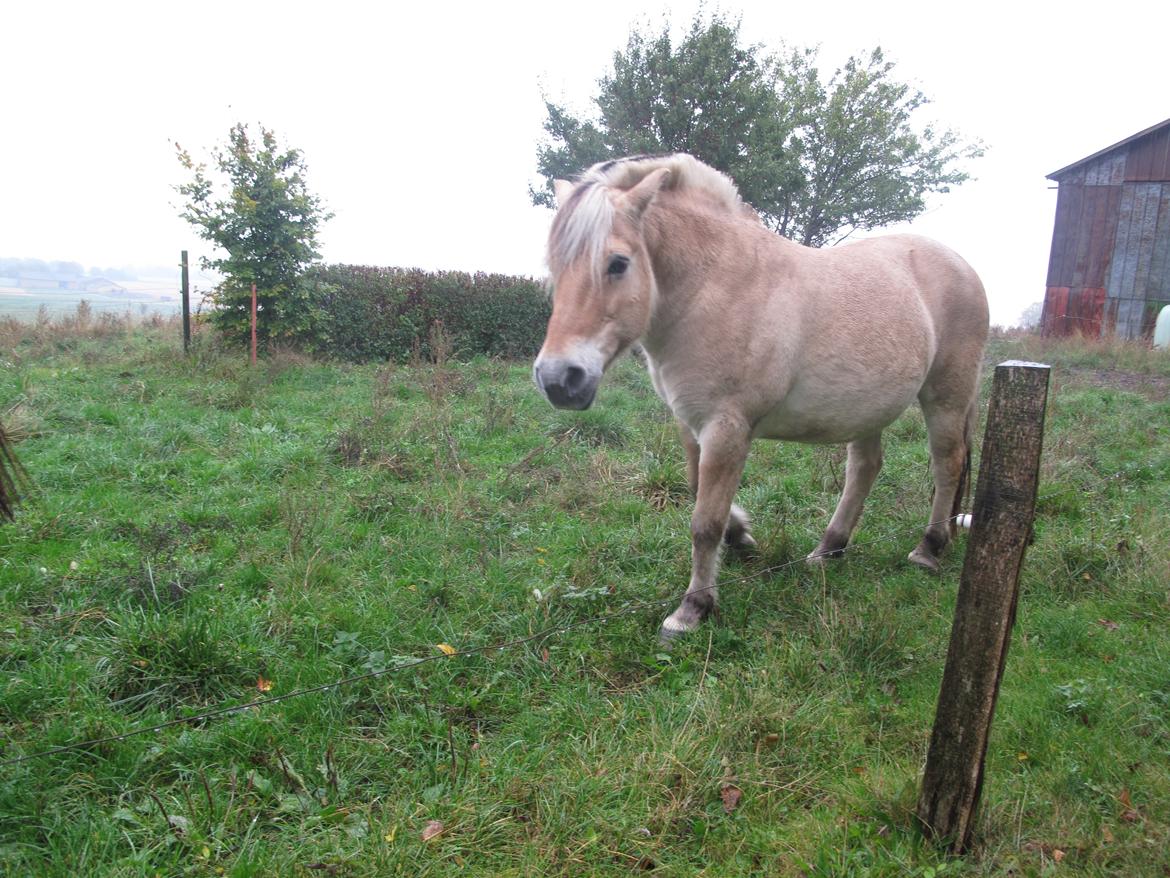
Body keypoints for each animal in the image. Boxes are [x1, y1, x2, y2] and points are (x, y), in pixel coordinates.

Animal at [535, 154, 992, 641]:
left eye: (618, 263)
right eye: (556, 266)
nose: (558, 379)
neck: (715, 285)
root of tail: (961, 266)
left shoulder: (727, 427)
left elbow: (704, 522)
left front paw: (692, 609)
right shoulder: (691, 423)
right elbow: (699, 492)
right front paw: (741, 540)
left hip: (946, 396)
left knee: (947, 463)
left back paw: (929, 549)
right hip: (868, 409)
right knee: (865, 469)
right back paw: (828, 550)